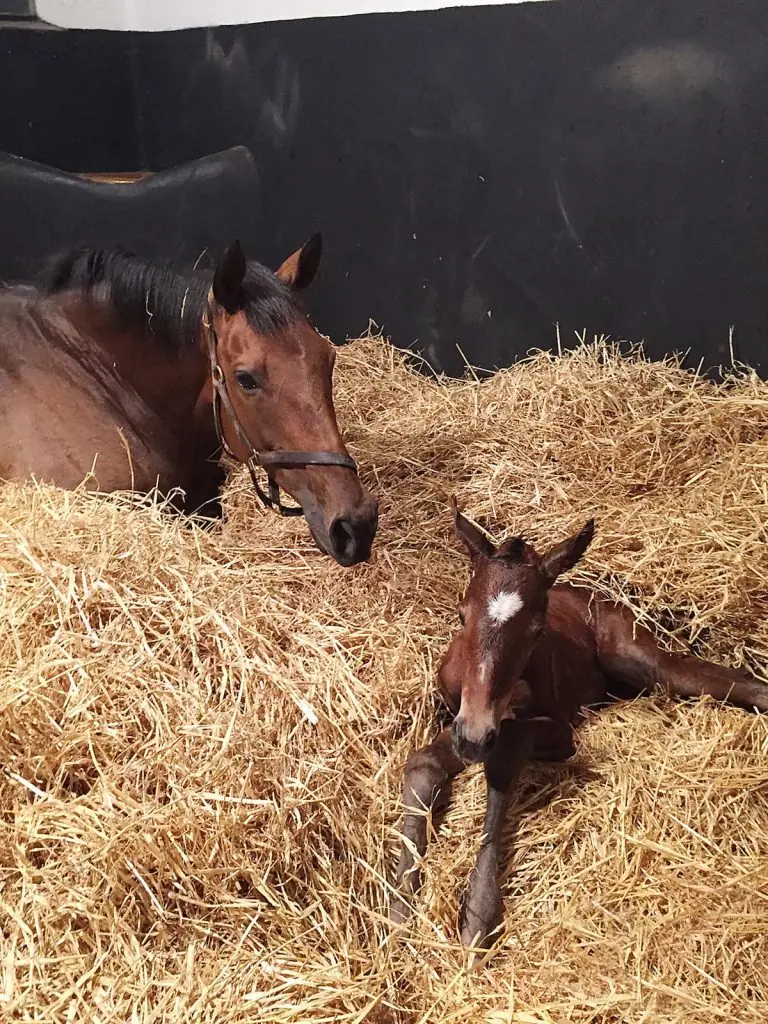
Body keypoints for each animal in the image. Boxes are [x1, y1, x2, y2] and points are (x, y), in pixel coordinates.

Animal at [392, 500, 768, 954]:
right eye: (462, 616)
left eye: (537, 631)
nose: (476, 735)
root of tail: (597, 593)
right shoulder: (461, 721)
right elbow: (423, 764)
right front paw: (399, 904)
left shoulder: (552, 730)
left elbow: (507, 752)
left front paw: (479, 912)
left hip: (636, 659)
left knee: (722, 680)